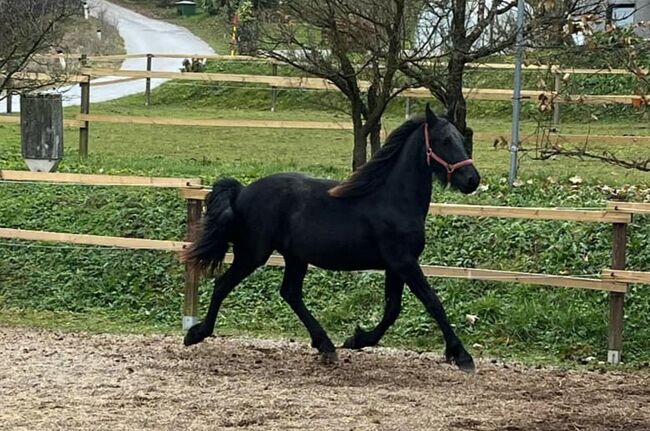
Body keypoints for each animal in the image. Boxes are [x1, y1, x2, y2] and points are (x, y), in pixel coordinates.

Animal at [180, 104, 478, 372]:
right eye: (443, 141)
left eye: (461, 139)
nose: (472, 180)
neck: (394, 200)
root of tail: (242, 191)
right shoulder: (403, 262)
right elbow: (432, 302)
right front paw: (461, 356)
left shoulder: (396, 266)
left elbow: (393, 308)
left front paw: (357, 339)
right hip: (252, 253)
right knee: (223, 284)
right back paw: (196, 334)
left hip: (295, 257)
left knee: (290, 293)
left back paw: (325, 345)